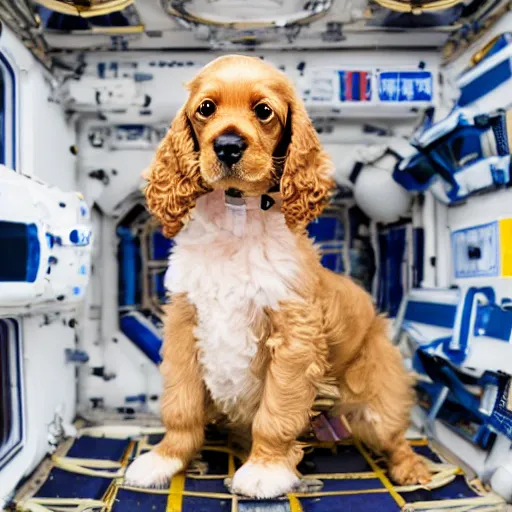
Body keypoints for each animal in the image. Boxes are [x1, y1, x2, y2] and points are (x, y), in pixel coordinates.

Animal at [125, 55, 432, 496]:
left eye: (264, 111)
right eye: (206, 109)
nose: (228, 145)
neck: (236, 219)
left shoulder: (293, 335)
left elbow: (277, 410)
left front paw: (265, 468)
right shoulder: (185, 324)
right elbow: (180, 406)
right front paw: (164, 459)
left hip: (377, 394)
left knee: (394, 436)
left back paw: (412, 470)